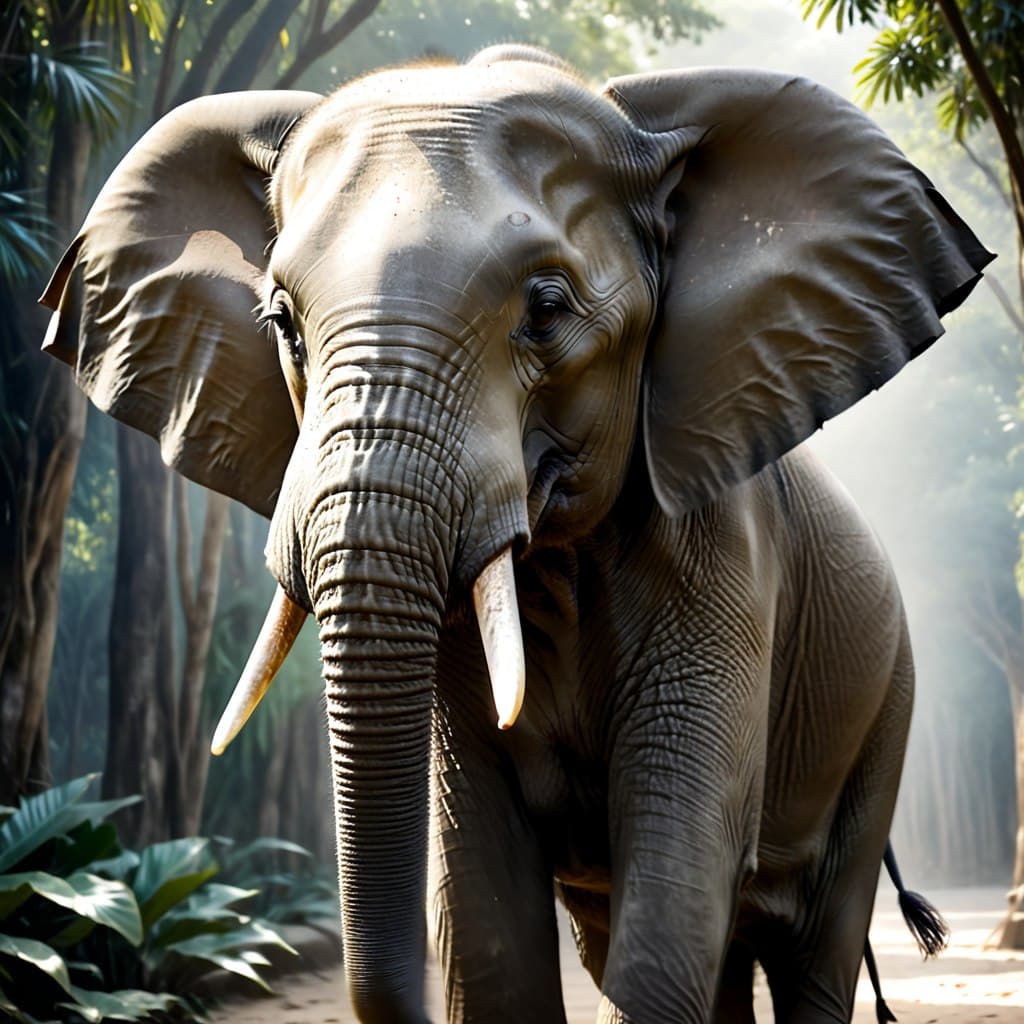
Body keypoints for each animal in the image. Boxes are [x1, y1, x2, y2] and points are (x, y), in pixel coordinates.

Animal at [41, 45, 992, 1024]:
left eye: (545, 309)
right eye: (281, 323)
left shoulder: (726, 566)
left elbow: (678, 877)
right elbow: (485, 907)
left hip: (887, 707)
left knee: (813, 947)